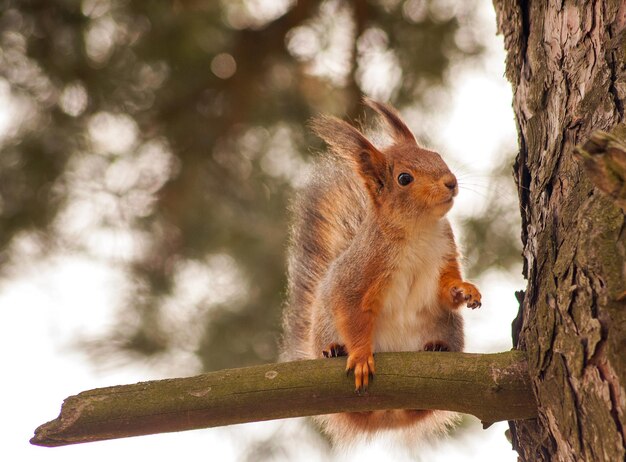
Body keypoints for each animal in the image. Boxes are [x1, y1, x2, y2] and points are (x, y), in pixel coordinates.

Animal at [280, 98, 480, 440]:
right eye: (404, 178)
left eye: (437, 156)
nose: (451, 182)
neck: (417, 230)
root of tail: (389, 415)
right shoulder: (359, 274)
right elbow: (351, 311)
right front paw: (360, 356)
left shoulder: (444, 252)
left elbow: (445, 290)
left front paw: (465, 289)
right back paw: (334, 350)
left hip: (448, 327)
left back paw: (437, 348)